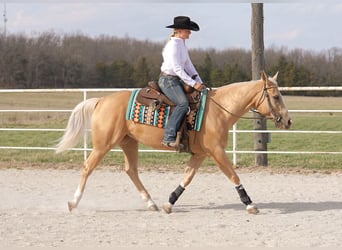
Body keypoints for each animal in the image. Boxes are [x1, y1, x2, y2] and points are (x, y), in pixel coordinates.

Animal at [55, 71, 292, 215]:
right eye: (276, 96)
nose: (288, 120)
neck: (219, 110)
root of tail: (102, 100)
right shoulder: (216, 151)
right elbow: (233, 175)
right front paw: (250, 204)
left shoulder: (201, 154)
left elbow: (187, 178)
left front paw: (169, 203)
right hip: (103, 144)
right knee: (88, 167)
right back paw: (73, 202)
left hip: (128, 143)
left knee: (131, 170)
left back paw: (150, 203)